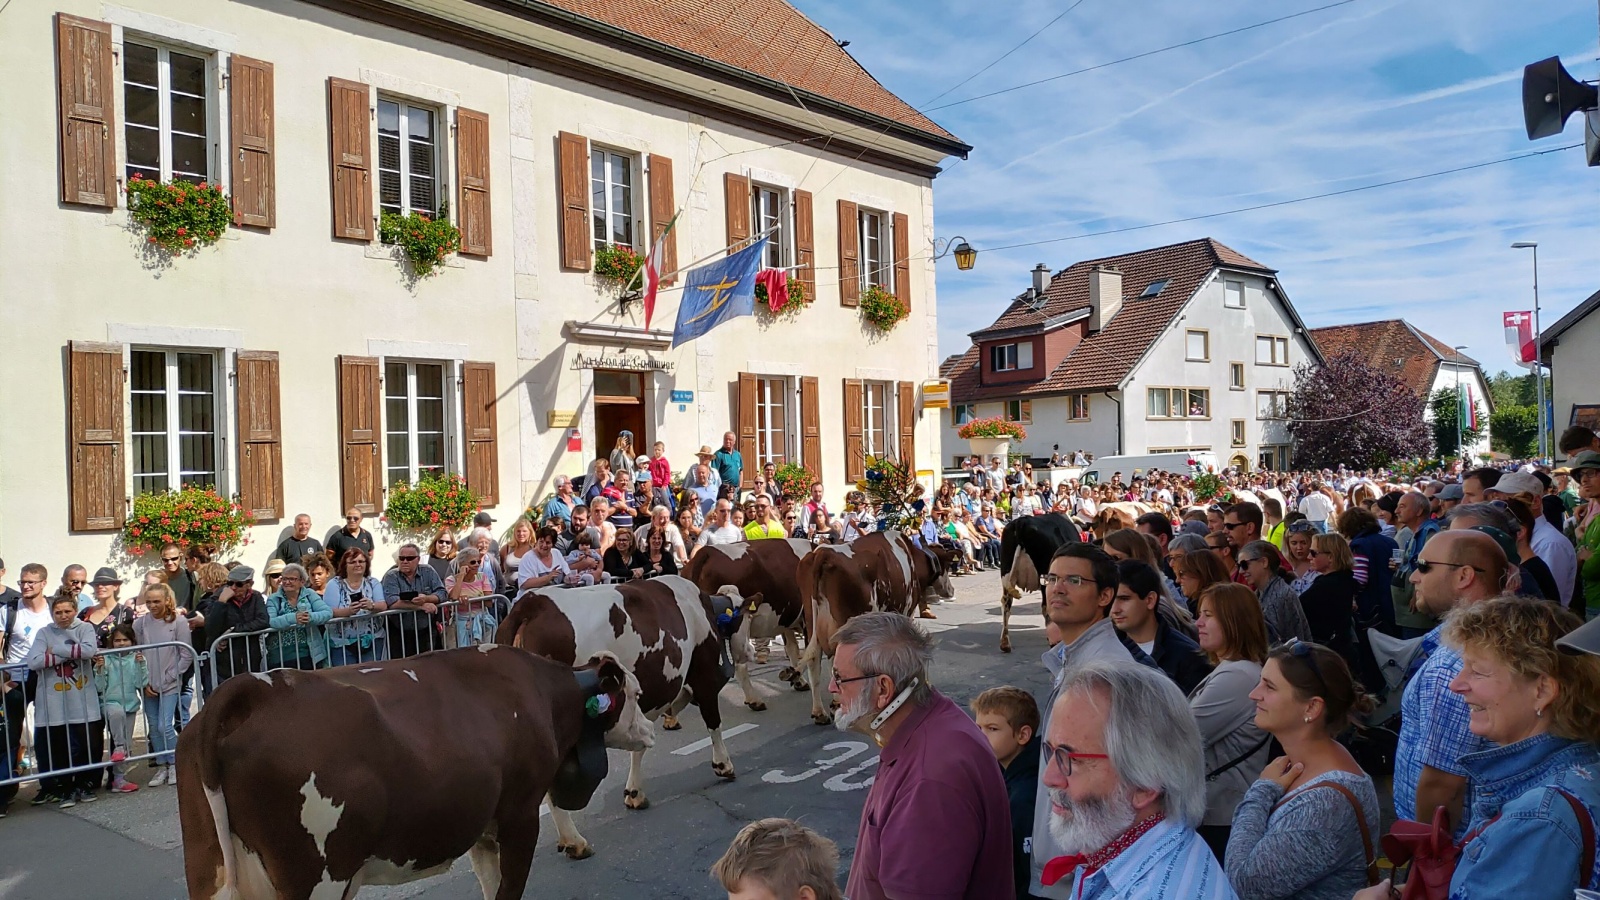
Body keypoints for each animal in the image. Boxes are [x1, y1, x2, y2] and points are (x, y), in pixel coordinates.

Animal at [175, 640, 649, 890]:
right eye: (636, 694)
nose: (649, 730)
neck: (540, 695)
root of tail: (258, 687)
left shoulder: (484, 828)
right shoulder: (519, 817)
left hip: (209, 865)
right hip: (319, 875)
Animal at [496, 570, 732, 858]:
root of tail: (532, 602)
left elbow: (639, 744)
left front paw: (634, 792)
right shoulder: (704, 672)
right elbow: (713, 721)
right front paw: (723, 765)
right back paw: (574, 840)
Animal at [684, 534, 819, 704]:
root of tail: (706, 552)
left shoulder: (787, 619)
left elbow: (792, 649)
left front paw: (797, 679)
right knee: (739, 662)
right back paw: (754, 700)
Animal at [796, 528, 947, 723]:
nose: (949, 591)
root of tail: (823, 552)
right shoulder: (906, 611)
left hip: (812, 622)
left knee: (815, 659)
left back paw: (820, 712)